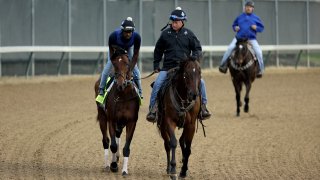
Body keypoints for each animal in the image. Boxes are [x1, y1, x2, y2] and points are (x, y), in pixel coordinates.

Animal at [94, 46, 141, 176]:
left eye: (127, 63)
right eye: (114, 63)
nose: (121, 84)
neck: (123, 95)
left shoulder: (131, 122)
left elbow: (126, 147)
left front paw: (124, 170)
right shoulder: (112, 119)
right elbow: (113, 145)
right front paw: (113, 165)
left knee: (117, 135)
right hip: (102, 116)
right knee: (106, 140)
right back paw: (107, 165)